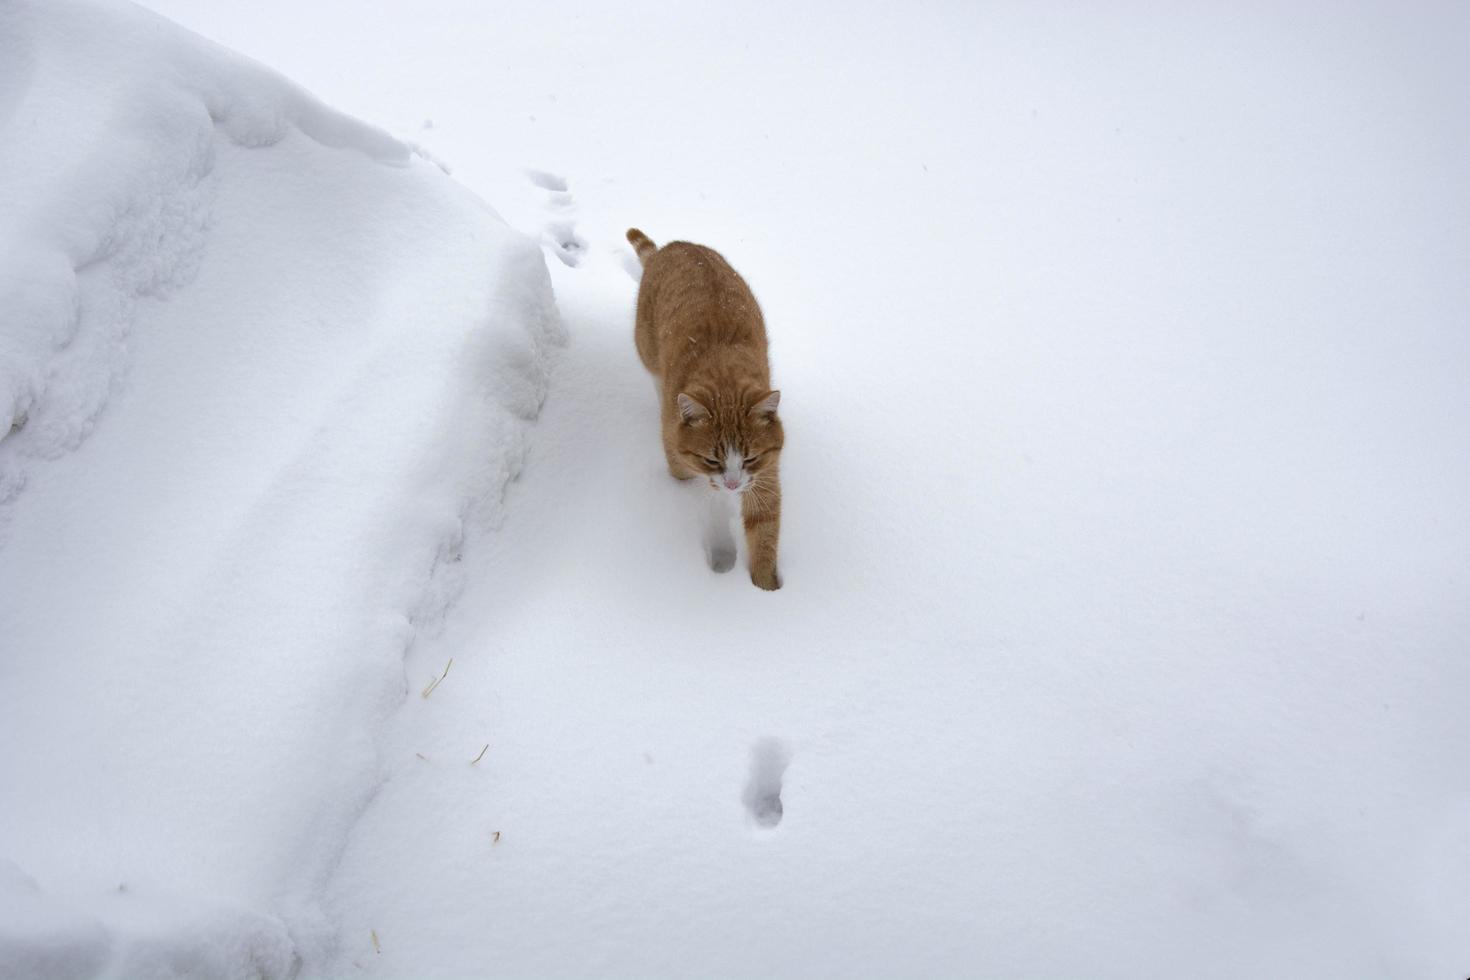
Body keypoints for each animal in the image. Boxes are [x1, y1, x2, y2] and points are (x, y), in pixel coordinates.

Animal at [626, 230, 782, 590]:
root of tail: (673, 246)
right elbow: (686, 477)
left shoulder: (765, 472)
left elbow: (764, 528)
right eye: (712, 460)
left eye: (750, 458)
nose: (733, 485)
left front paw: (765, 591)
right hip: (648, 354)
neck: (725, 381)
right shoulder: (680, 453)